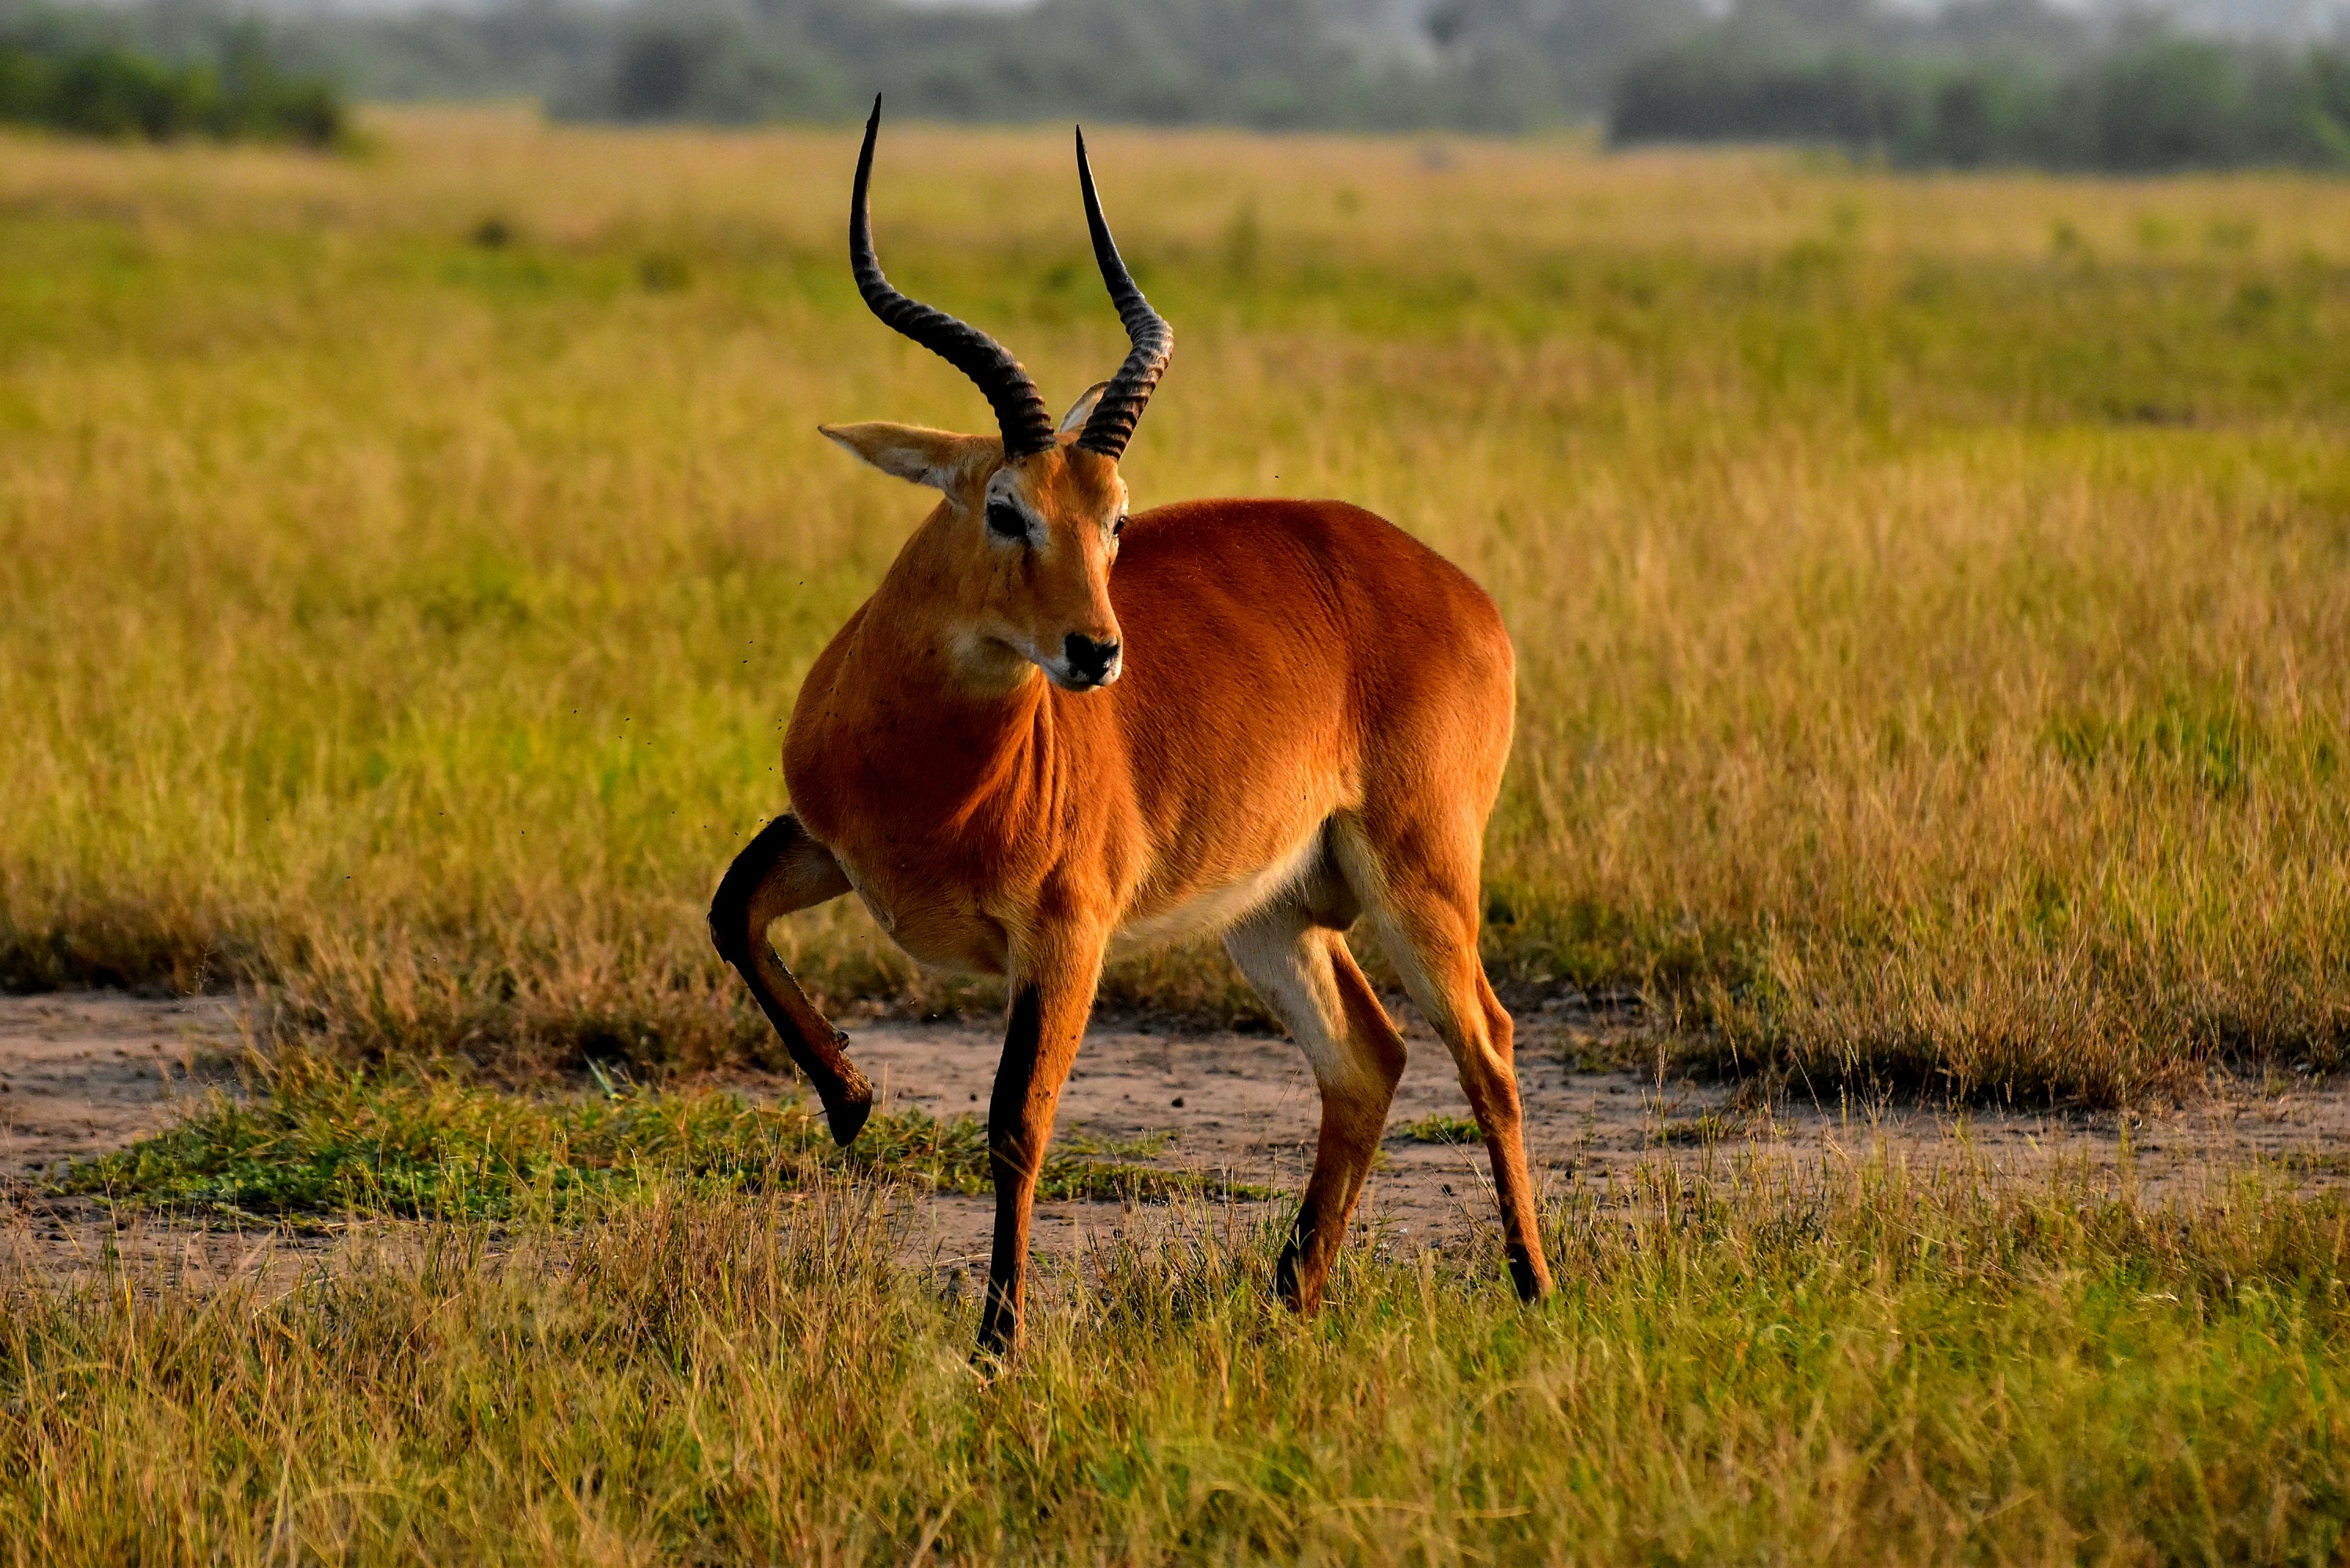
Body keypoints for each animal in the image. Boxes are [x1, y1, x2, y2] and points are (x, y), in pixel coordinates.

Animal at [710, 100, 1552, 1356]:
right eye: (1004, 506)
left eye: (1115, 519)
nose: (1096, 653)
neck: (934, 767)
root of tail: (1459, 589)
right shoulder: (827, 841)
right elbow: (733, 912)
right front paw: (852, 1100)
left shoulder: (1065, 934)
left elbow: (1018, 1119)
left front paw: (997, 1341)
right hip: (1272, 910)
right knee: (1369, 1056)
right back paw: (1288, 1298)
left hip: (1419, 871)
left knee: (1486, 1045)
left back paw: (1535, 1287)